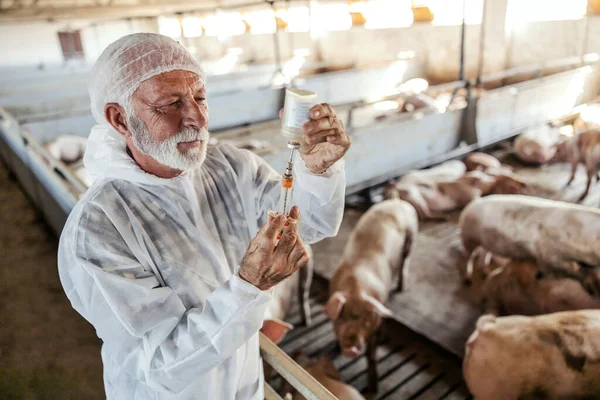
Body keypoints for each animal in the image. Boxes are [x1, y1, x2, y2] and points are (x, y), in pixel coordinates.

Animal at [324, 198, 418, 392]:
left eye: (365, 320)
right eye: (340, 318)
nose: (350, 348)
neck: (355, 290)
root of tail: (397, 200)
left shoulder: (376, 322)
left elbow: (371, 355)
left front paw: (374, 389)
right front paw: (335, 349)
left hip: (411, 238)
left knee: (404, 263)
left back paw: (401, 287)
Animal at [462, 195, 600, 282]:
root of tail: (471, 204)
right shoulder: (547, 255)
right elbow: (559, 269)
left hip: (486, 243)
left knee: (484, 254)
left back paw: (486, 273)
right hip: (468, 238)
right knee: (469, 256)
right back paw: (468, 277)